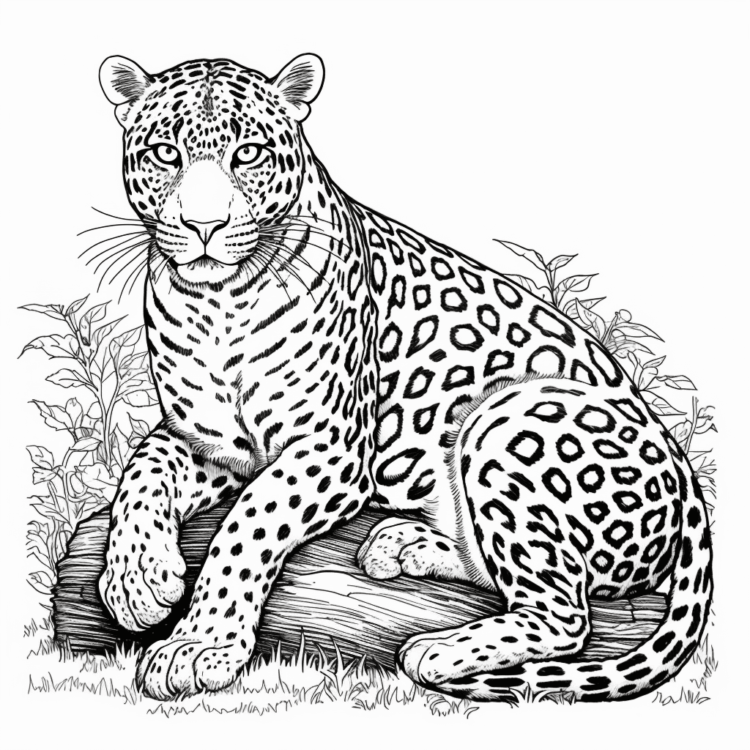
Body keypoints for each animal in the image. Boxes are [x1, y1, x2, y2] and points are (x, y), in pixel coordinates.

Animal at [96, 52, 713, 702]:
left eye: (249, 153)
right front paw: (137, 581)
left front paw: (200, 646)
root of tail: (689, 489)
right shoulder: (209, 443)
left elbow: (248, 525)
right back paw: (405, 546)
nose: (204, 224)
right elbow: (141, 474)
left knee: (563, 612)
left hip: (507, 417)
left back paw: (436, 650)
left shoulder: (332, 450)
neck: (216, 305)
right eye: (165, 153)